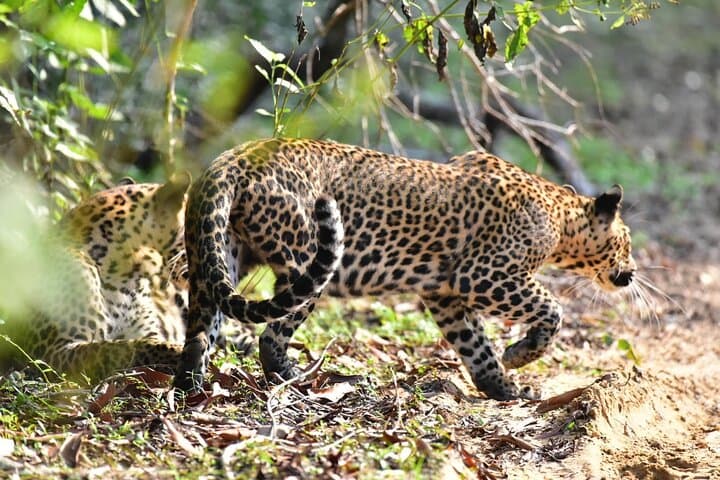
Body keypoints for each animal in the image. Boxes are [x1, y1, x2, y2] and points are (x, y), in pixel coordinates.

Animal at [173, 137, 637, 401]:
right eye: (627, 242)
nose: (631, 272)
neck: (560, 215)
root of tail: (232, 159)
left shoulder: (445, 293)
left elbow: (475, 345)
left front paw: (502, 385)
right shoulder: (485, 275)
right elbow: (552, 308)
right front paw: (520, 355)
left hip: (217, 253)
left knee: (201, 331)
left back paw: (189, 389)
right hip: (306, 260)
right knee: (272, 334)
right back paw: (294, 379)